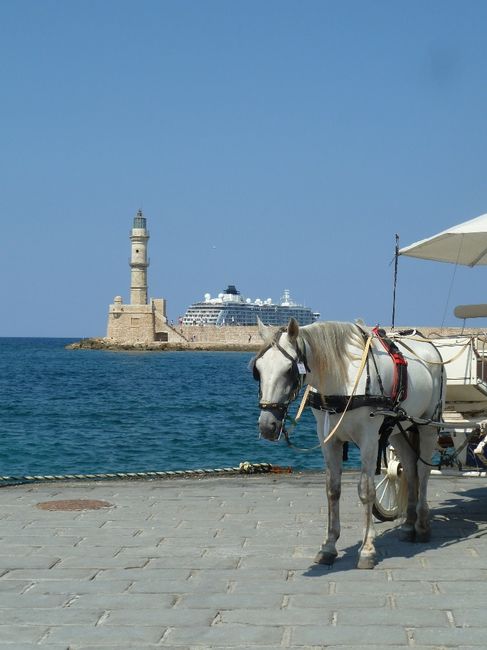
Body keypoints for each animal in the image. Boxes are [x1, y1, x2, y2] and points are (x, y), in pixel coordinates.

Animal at [254, 318, 448, 568]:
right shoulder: (328, 440)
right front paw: (329, 546)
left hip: (428, 425)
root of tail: (430, 345)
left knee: (423, 471)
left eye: (289, 370)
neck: (342, 378)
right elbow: (332, 490)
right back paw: (408, 525)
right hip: (398, 429)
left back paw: (422, 525)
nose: (267, 426)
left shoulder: (369, 440)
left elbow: (366, 491)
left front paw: (367, 548)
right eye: (257, 370)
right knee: (410, 469)